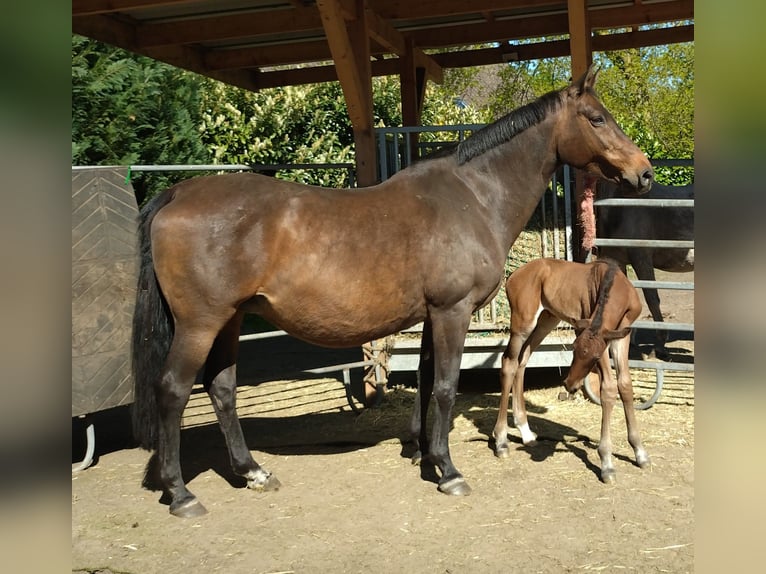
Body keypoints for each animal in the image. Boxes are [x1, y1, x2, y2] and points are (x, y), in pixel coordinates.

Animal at [491, 258, 651, 483]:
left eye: (592, 357)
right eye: (573, 347)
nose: (569, 384)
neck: (614, 284)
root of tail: (513, 275)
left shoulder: (621, 336)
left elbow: (625, 384)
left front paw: (640, 452)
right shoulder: (601, 337)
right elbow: (609, 389)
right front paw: (607, 463)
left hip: (547, 319)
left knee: (522, 360)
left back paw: (526, 433)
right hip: (523, 323)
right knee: (509, 363)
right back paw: (501, 442)